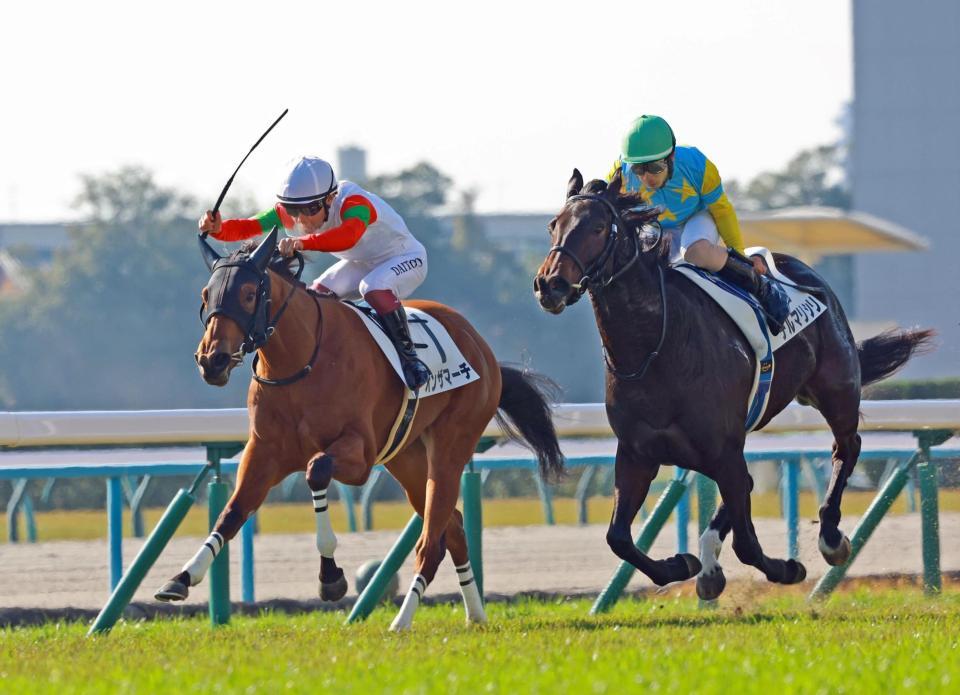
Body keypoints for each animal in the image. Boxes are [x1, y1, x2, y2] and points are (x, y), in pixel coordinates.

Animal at [155, 228, 565, 630]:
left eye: (249, 293)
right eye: (206, 294)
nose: (212, 360)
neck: (301, 362)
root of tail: (481, 346)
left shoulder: (360, 456)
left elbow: (316, 470)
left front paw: (331, 578)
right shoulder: (263, 452)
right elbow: (232, 512)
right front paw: (181, 578)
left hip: (452, 445)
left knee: (432, 538)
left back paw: (403, 619)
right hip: (405, 457)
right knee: (455, 528)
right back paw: (475, 614)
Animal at [533, 169, 934, 599]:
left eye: (596, 227)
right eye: (553, 225)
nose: (550, 284)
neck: (656, 347)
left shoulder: (722, 449)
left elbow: (747, 543)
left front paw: (788, 568)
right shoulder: (637, 454)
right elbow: (618, 537)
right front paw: (682, 563)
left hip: (835, 387)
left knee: (846, 447)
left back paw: (830, 537)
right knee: (748, 484)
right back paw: (709, 563)